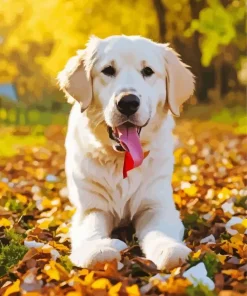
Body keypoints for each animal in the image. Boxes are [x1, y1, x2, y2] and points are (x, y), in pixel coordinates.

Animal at [58, 34, 195, 270]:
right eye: (108, 70)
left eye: (148, 71)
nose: (128, 102)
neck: (121, 159)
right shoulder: (92, 209)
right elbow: (90, 230)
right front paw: (97, 250)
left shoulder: (155, 205)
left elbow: (160, 231)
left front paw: (169, 249)